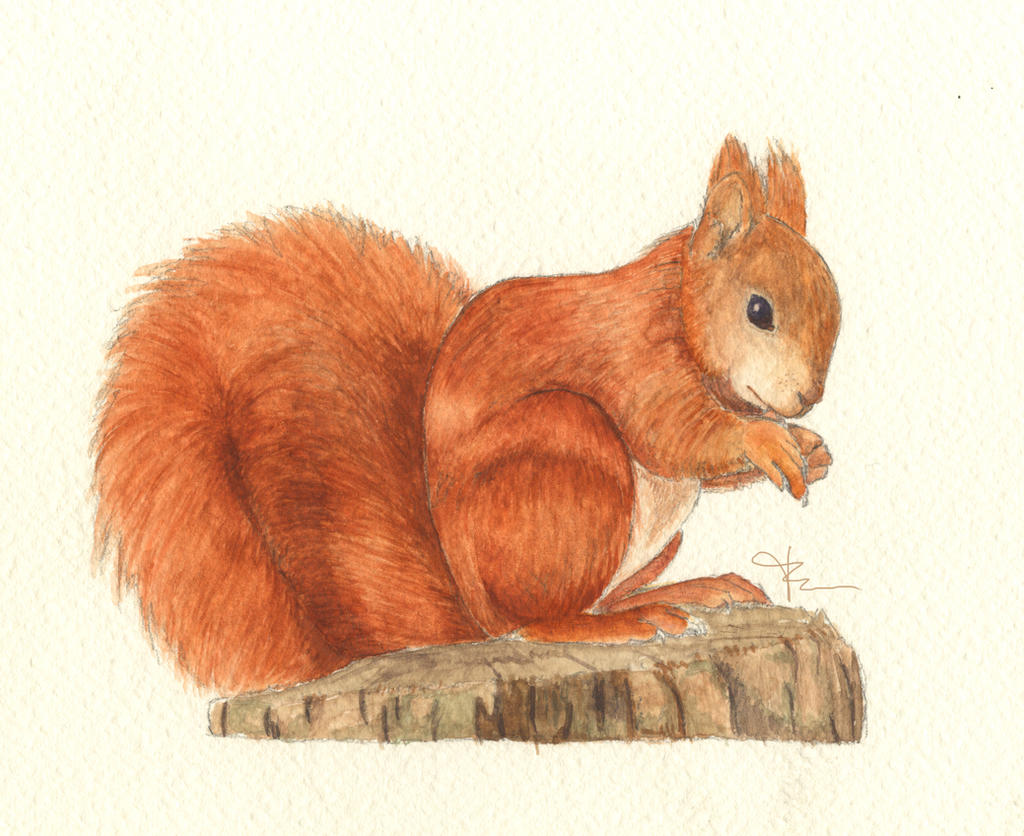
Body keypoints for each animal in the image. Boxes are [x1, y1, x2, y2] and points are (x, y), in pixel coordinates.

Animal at [93, 136, 840, 694]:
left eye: (833, 305)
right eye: (759, 310)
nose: (806, 399)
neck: (679, 304)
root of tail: (468, 612)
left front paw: (812, 448)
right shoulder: (633, 358)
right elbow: (677, 435)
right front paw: (769, 441)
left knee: (590, 598)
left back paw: (688, 593)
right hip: (568, 453)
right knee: (535, 619)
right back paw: (613, 625)